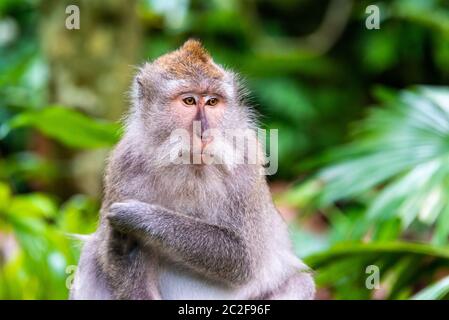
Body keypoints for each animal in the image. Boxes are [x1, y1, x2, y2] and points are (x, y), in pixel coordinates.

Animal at [71, 40, 316, 300]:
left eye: (212, 102)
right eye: (189, 101)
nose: (204, 131)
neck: (188, 167)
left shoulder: (246, 163)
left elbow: (243, 257)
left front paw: (139, 215)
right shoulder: (124, 166)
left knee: (301, 283)